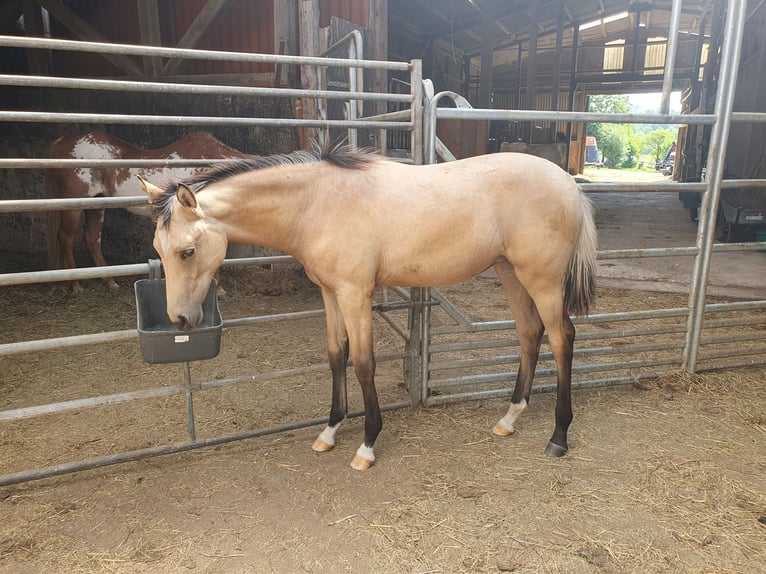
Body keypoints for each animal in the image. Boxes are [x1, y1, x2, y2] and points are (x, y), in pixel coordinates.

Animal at [45, 130, 247, 294]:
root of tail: (60, 143)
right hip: (73, 207)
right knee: (66, 239)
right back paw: (76, 285)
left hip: (96, 205)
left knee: (92, 239)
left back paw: (110, 282)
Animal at [138, 146, 598, 470]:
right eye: (157, 249)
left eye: (187, 251)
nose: (180, 319)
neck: (318, 204)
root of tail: (567, 183)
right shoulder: (330, 294)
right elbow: (336, 356)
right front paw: (329, 431)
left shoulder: (355, 294)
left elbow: (362, 363)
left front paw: (367, 444)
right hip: (511, 272)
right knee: (529, 333)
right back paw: (509, 418)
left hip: (542, 280)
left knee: (562, 338)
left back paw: (558, 435)